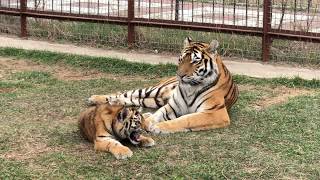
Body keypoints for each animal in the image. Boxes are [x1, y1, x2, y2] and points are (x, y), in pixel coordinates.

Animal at [89, 37, 239, 134]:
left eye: (195, 61)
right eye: (181, 59)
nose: (180, 75)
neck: (190, 88)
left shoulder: (215, 113)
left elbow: (186, 119)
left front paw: (156, 127)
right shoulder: (173, 106)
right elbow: (159, 113)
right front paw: (149, 122)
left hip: (155, 99)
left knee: (132, 99)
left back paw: (114, 102)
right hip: (154, 90)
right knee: (127, 93)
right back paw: (95, 98)